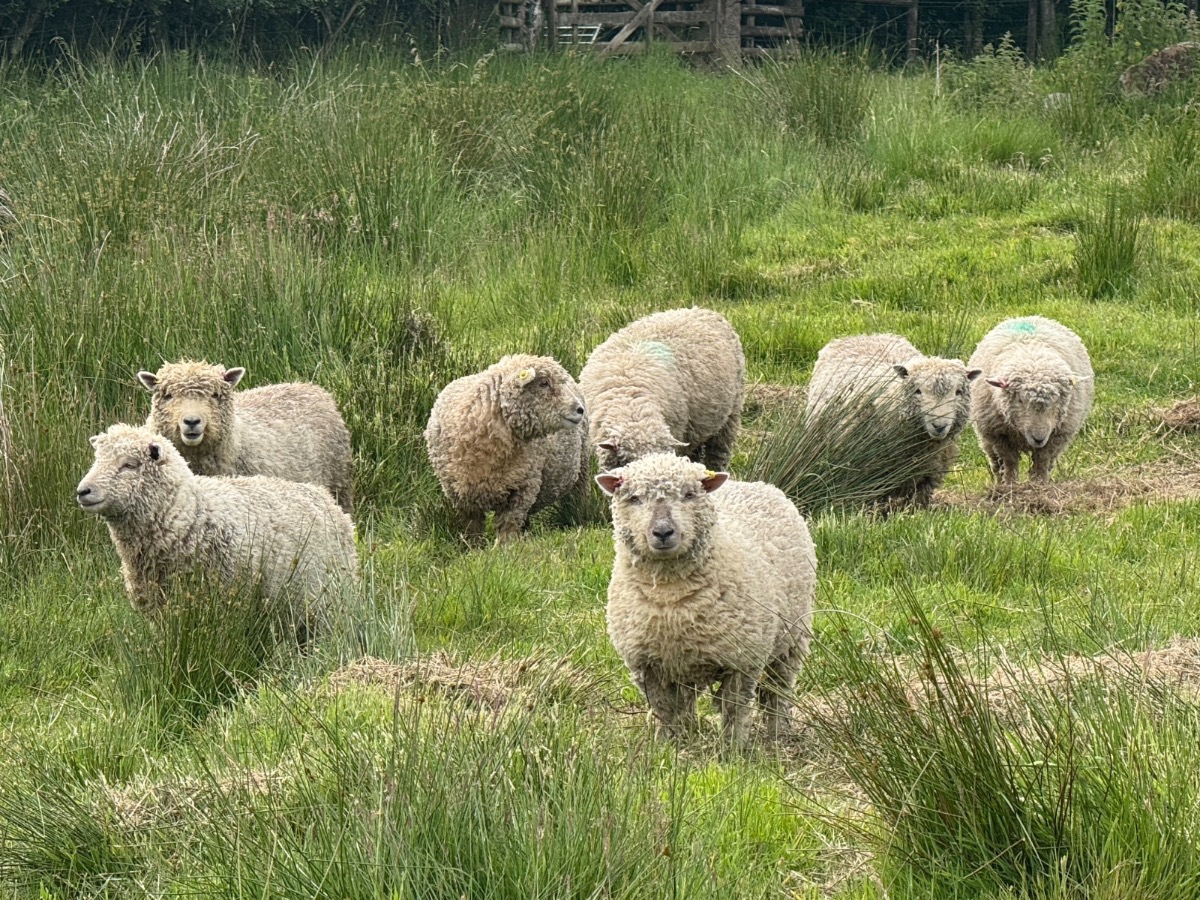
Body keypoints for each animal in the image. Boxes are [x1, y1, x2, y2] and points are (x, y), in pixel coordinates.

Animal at [76, 423, 357, 640]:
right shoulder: (161, 608)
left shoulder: (223, 601)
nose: (82, 491)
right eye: (97, 460)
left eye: (129, 465)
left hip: (327, 595)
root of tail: (327, 500)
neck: (192, 514)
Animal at [424, 354, 588, 545]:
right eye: (544, 383)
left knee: (576, 498)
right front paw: (473, 548)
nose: (579, 409)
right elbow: (472, 528)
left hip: (581, 467)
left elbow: (508, 524)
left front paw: (505, 547)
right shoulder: (460, 495)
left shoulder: (522, 488)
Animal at [579, 307, 745, 472]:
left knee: (717, 456)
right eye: (627, 460)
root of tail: (703, 310)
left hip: (730, 416)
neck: (630, 402)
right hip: (698, 426)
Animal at [597, 453, 815, 746]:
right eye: (634, 498)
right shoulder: (648, 664)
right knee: (686, 702)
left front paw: (733, 748)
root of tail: (755, 483)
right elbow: (664, 709)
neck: (670, 597)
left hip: (793, 636)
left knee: (778, 691)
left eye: (689, 494)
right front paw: (668, 745)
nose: (663, 532)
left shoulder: (743, 659)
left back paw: (778, 734)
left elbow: (735, 708)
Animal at [968, 316, 1094, 485]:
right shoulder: (999, 435)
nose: (1038, 438)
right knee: (996, 464)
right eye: (1020, 400)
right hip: (987, 439)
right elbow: (1009, 461)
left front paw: (1039, 484)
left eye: (1056, 400)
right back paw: (1000, 483)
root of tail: (1028, 317)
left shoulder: (1056, 436)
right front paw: (1010, 484)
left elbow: (1042, 461)